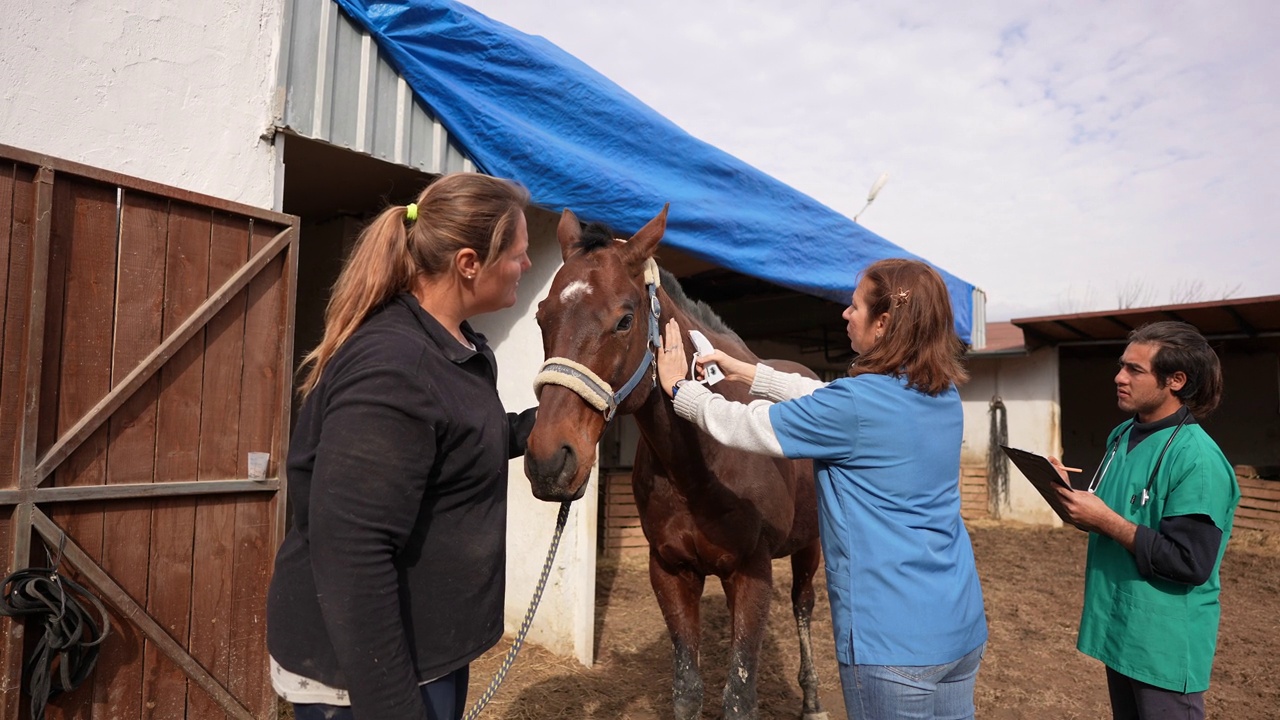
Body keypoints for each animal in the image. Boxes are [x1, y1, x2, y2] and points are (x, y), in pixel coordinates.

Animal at [522, 204, 829, 712]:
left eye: (625, 320)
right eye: (543, 317)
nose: (549, 462)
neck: (701, 464)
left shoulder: (753, 573)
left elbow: (739, 695)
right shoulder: (670, 571)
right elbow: (687, 687)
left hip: (810, 545)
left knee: (803, 605)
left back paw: (812, 699)